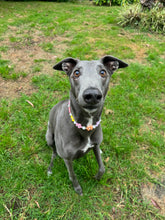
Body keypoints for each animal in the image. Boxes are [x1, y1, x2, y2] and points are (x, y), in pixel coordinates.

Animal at [45, 55, 128, 195]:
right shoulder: (67, 158)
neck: (86, 127)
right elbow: (72, 175)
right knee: (54, 152)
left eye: (103, 72)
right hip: (49, 137)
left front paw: (96, 177)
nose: (92, 95)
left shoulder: (95, 144)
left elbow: (102, 168)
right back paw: (50, 168)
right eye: (76, 73)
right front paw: (78, 189)